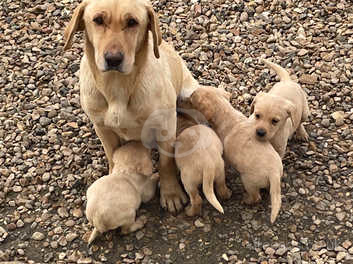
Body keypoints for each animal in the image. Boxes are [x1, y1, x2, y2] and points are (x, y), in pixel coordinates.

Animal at [188, 86, 282, 223]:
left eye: (193, 97)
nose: (190, 93)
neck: (226, 113)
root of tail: (273, 173)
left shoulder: (225, 155)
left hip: (248, 181)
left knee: (256, 197)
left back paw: (247, 199)